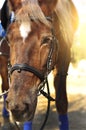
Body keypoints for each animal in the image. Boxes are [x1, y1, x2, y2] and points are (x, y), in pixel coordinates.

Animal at [0, 0, 78, 129]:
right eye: (8, 39)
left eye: (46, 39)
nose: (17, 105)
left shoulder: (64, 60)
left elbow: (61, 102)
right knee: (5, 86)